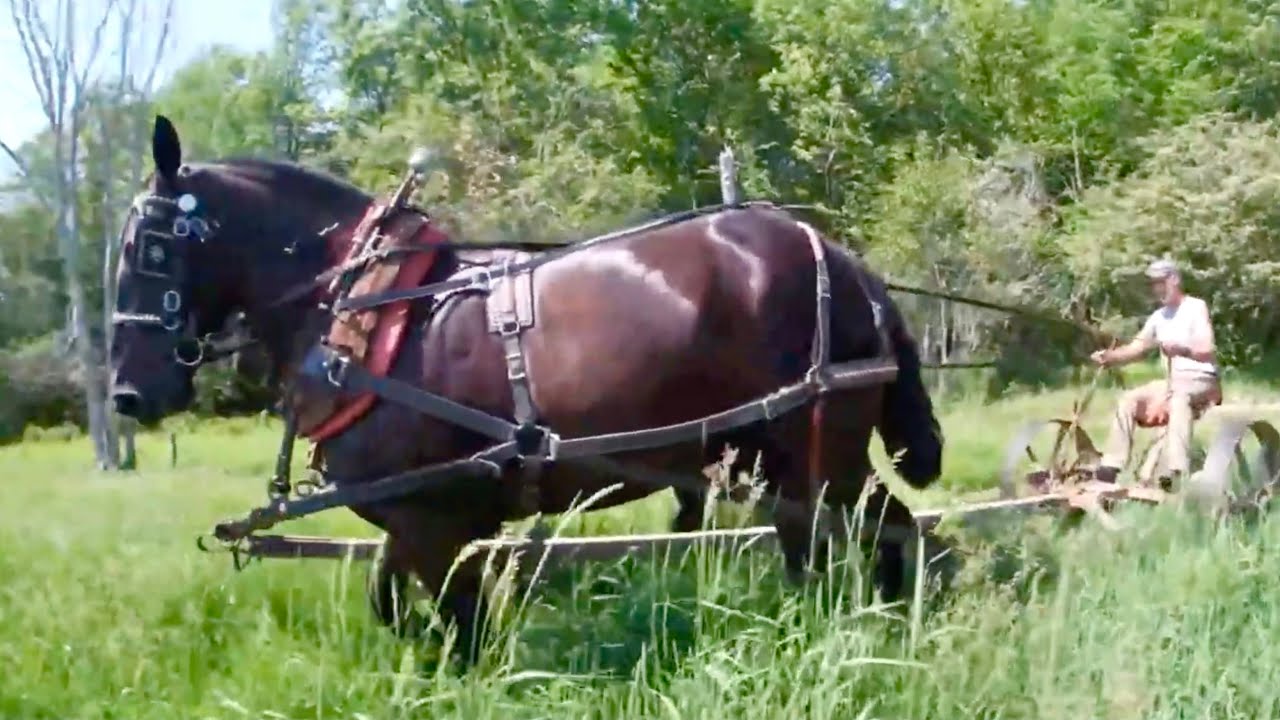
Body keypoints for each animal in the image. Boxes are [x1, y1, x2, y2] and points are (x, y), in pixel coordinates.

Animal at [109, 115, 944, 663]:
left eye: (150, 246)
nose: (126, 395)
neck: (372, 315)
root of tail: (841, 259)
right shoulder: (420, 520)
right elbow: (395, 606)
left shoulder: (435, 523)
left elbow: (467, 634)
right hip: (778, 457)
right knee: (855, 539)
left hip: (817, 451)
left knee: (877, 535)